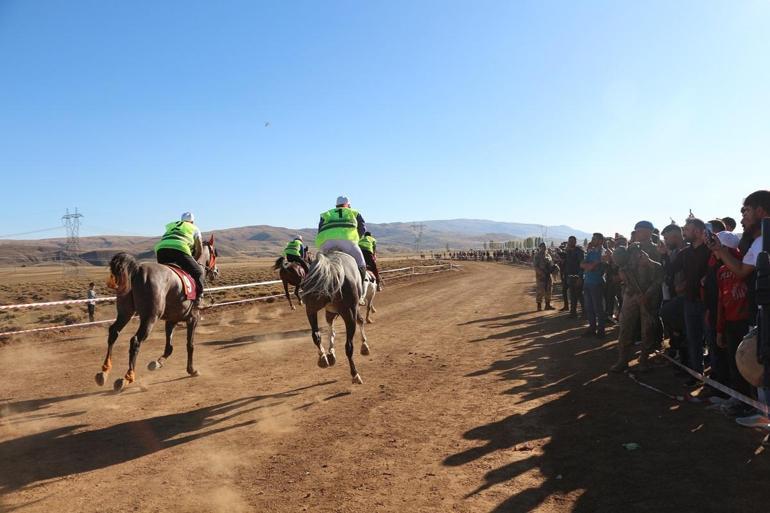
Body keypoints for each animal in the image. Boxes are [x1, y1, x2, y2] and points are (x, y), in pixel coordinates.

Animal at [95, 236, 218, 392]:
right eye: (215, 253)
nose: (216, 272)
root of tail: (137, 270)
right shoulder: (193, 318)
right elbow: (190, 345)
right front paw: (192, 370)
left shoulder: (171, 320)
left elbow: (169, 347)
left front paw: (157, 363)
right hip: (150, 317)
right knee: (135, 340)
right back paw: (127, 377)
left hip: (125, 313)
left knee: (113, 332)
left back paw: (104, 372)